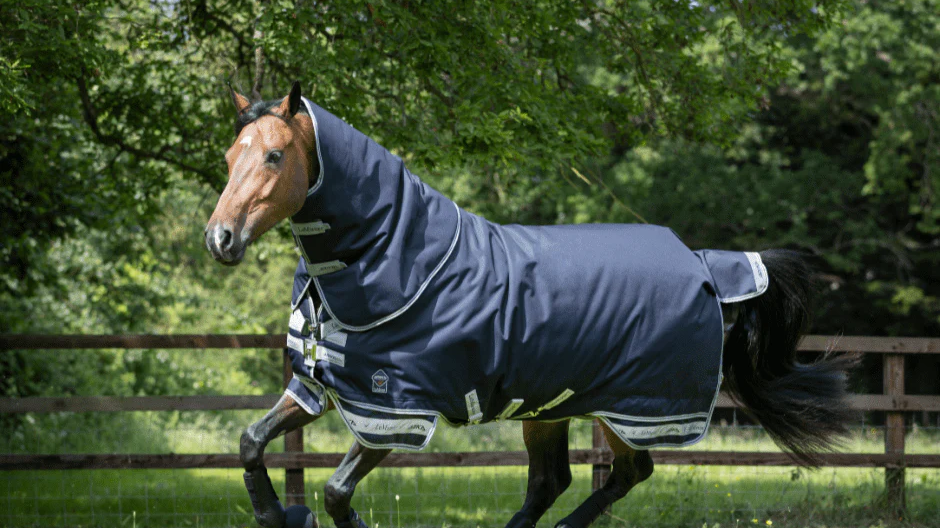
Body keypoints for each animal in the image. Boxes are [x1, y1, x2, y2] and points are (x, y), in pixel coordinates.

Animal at [205, 82, 853, 528]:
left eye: (274, 156)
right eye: (232, 156)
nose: (220, 239)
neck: (395, 261)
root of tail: (703, 261)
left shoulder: (396, 413)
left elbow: (337, 491)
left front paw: (306, 515)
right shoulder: (319, 388)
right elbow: (250, 442)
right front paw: (275, 515)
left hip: (631, 409)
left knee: (627, 472)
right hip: (548, 405)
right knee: (551, 481)